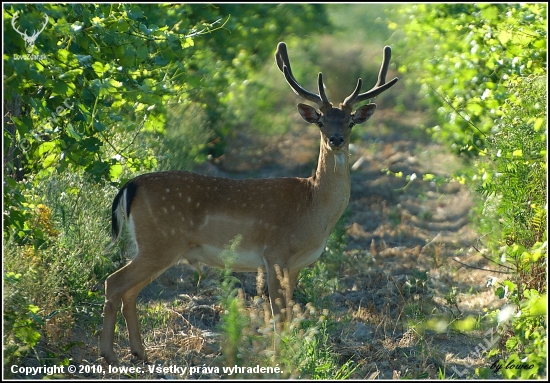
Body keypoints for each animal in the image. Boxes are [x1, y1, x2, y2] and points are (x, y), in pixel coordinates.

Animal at [99, 41, 398, 364]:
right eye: (320, 120)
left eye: (351, 120)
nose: (336, 139)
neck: (313, 207)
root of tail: (129, 186)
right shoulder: (275, 253)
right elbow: (278, 314)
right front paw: (278, 358)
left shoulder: (296, 265)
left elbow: (287, 313)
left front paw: (287, 354)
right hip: (160, 243)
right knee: (114, 283)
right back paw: (109, 354)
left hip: (152, 246)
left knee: (129, 291)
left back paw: (139, 352)